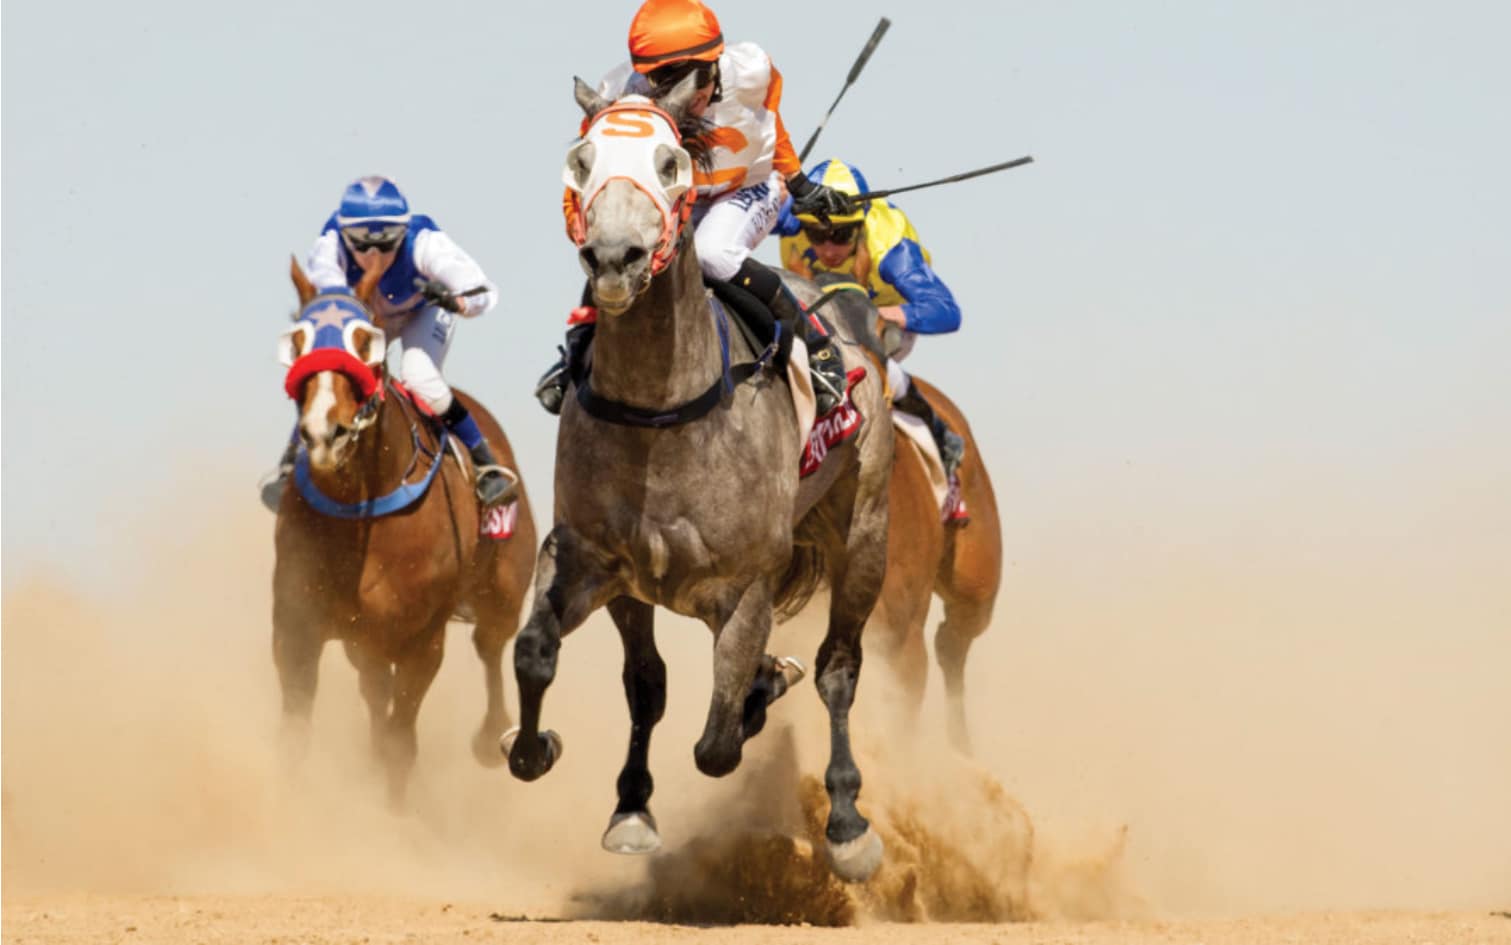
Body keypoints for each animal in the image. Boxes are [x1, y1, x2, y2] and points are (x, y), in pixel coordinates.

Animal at [271, 258, 537, 804]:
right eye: (298, 340)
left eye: (365, 341)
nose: (324, 433)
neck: (359, 512)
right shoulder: (298, 625)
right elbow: (296, 733)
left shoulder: (421, 638)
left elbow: (401, 742)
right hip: (365, 642)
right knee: (377, 689)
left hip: (503, 585)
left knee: (491, 645)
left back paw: (494, 737)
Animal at [501, 77, 888, 883]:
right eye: (581, 159)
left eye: (671, 162)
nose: (613, 257)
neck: (662, 407)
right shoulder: (592, 559)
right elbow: (557, 658)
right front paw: (570, 770)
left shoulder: (747, 584)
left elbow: (716, 743)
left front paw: (760, 687)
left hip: (865, 529)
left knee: (838, 667)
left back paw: (846, 823)